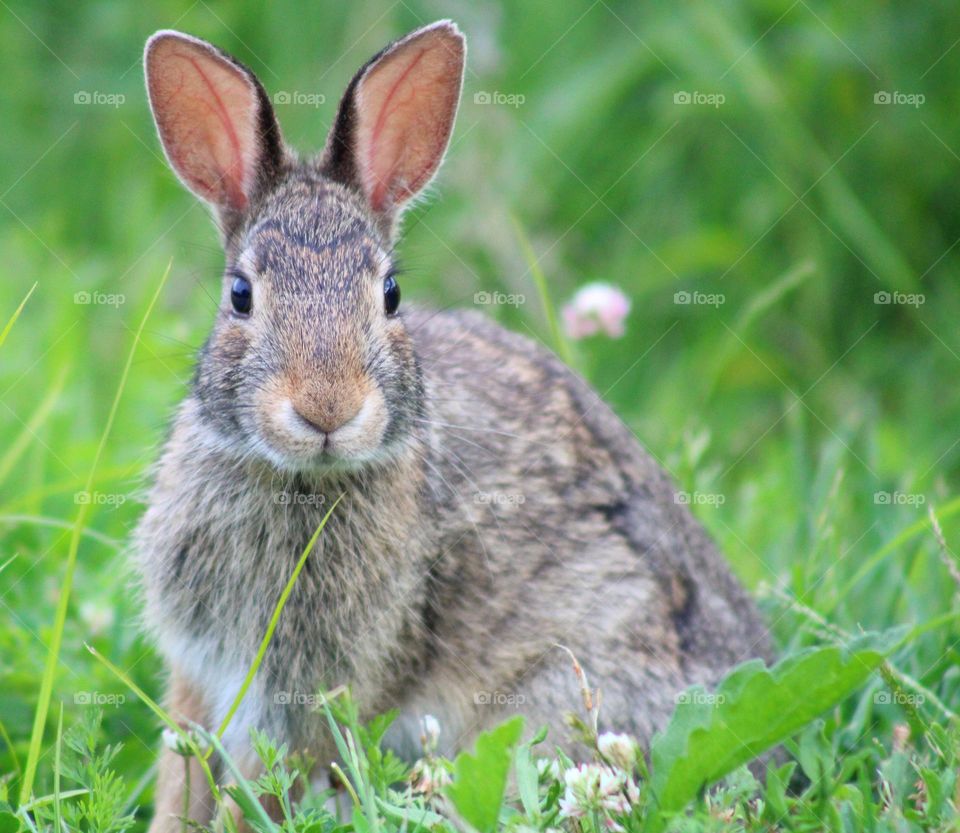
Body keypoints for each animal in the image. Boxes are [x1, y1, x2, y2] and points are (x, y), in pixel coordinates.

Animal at [137, 19, 772, 832]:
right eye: (240, 295)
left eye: (391, 294)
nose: (327, 408)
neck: (302, 479)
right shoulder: (200, 670)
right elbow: (182, 768)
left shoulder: (309, 693)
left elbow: (258, 783)